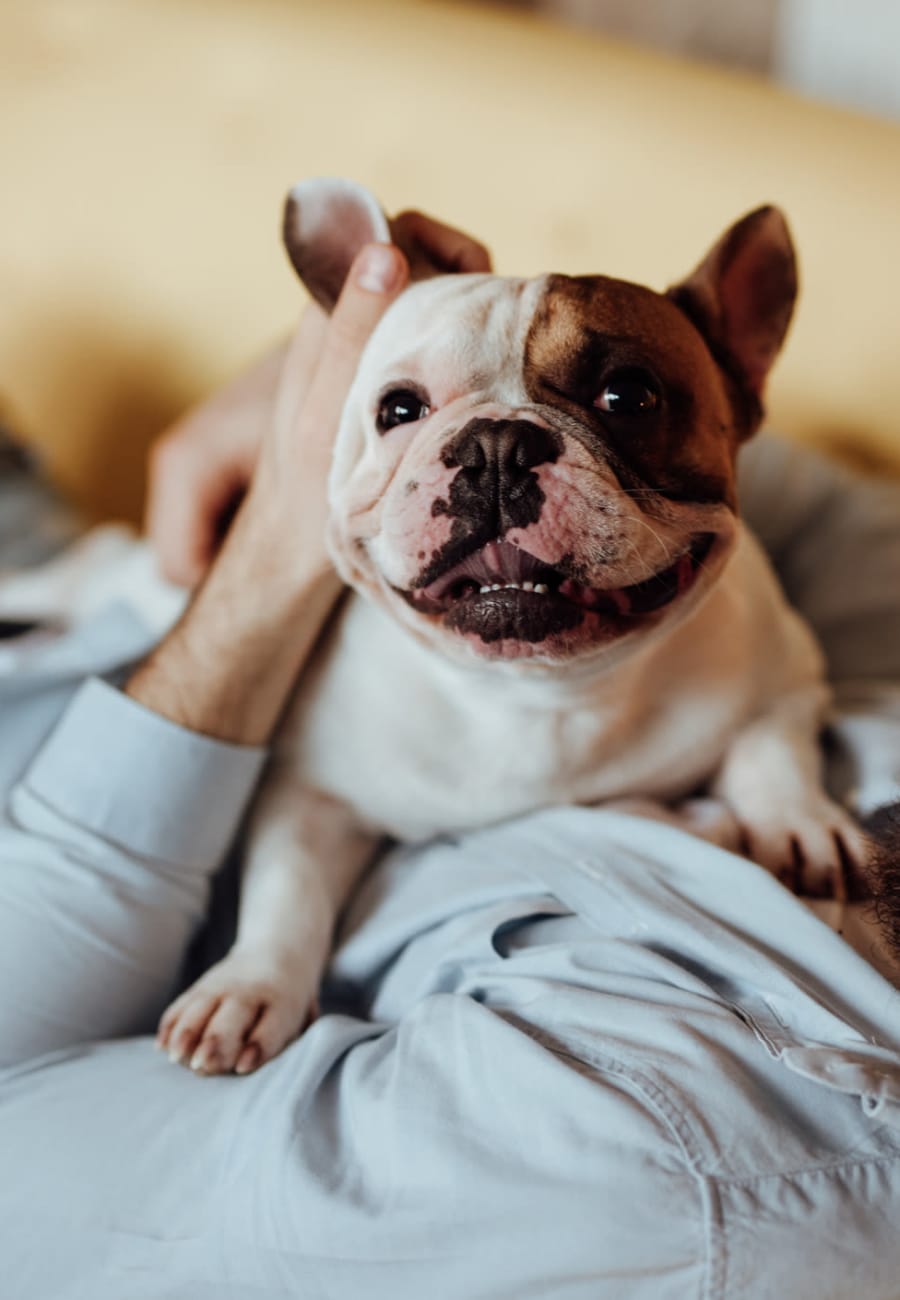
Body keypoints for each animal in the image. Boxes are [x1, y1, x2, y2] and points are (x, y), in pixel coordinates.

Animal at [1, 183, 879, 1076]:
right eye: (398, 408)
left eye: (629, 397)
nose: (496, 443)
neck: (539, 695)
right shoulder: (310, 792)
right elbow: (287, 888)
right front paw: (246, 987)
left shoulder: (785, 672)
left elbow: (773, 746)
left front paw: (797, 824)